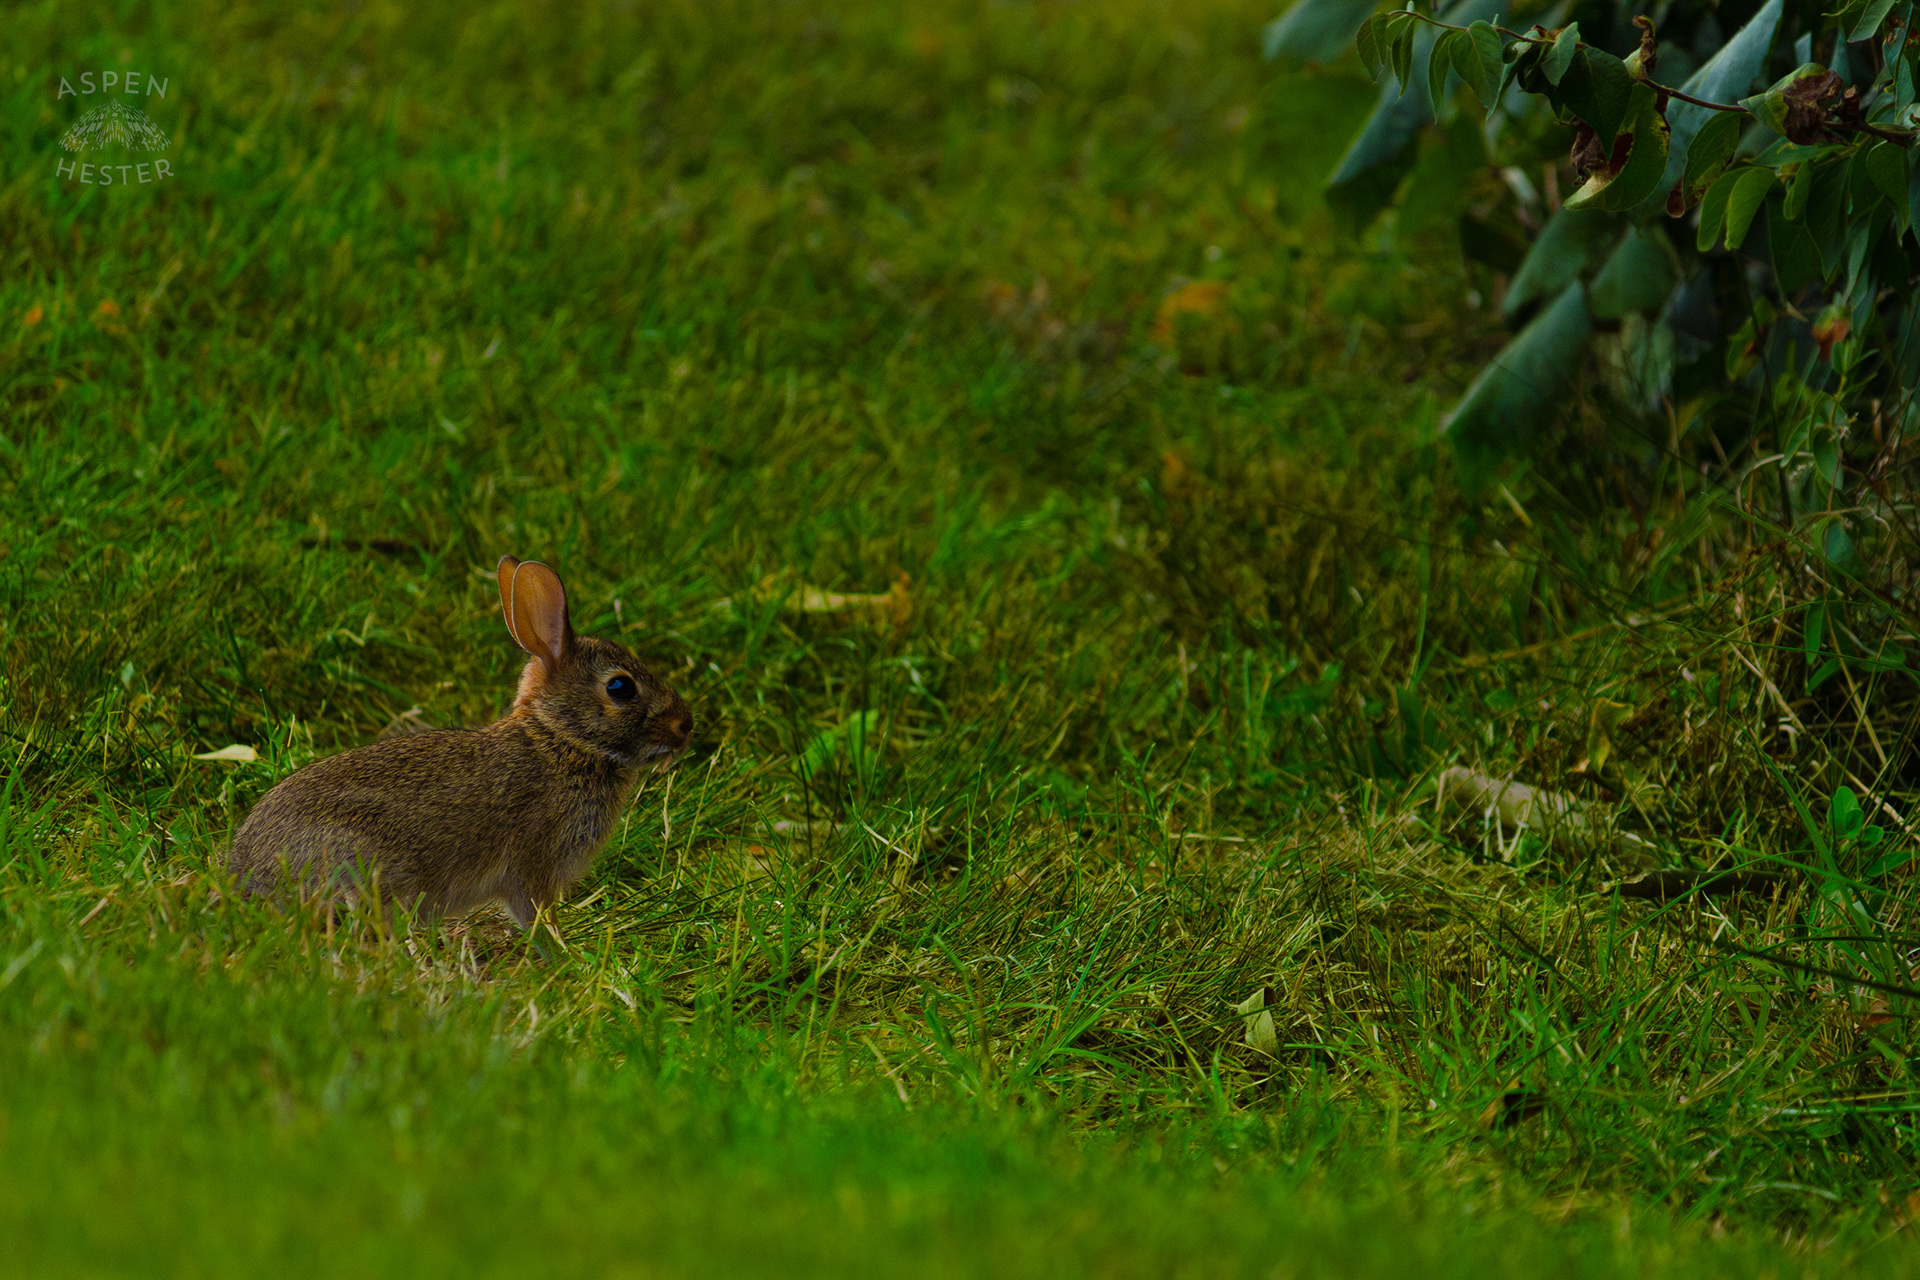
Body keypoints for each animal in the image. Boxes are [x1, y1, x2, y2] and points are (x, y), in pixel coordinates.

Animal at [228, 555, 693, 930]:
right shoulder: (532, 865)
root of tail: (244, 871)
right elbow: (536, 916)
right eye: (620, 688)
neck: (561, 741)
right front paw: (563, 957)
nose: (685, 725)